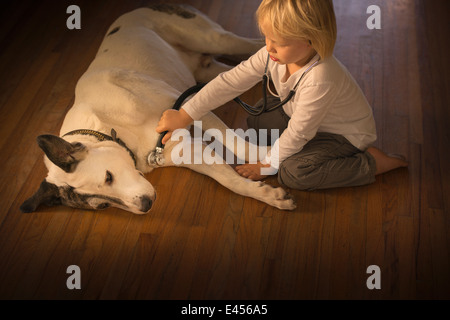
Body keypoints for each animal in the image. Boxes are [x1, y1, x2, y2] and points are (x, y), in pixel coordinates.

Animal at [20, 4, 296, 215]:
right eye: (103, 206)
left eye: (108, 177)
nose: (145, 205)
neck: (114, 127)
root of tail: (135, 9)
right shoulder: (184, 151)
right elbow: (229, 180)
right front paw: (267, 195)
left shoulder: (187, 102)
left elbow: (236, 143)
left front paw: (270, 155)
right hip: (208, 72)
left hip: (215, 40)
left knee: (254, 45)